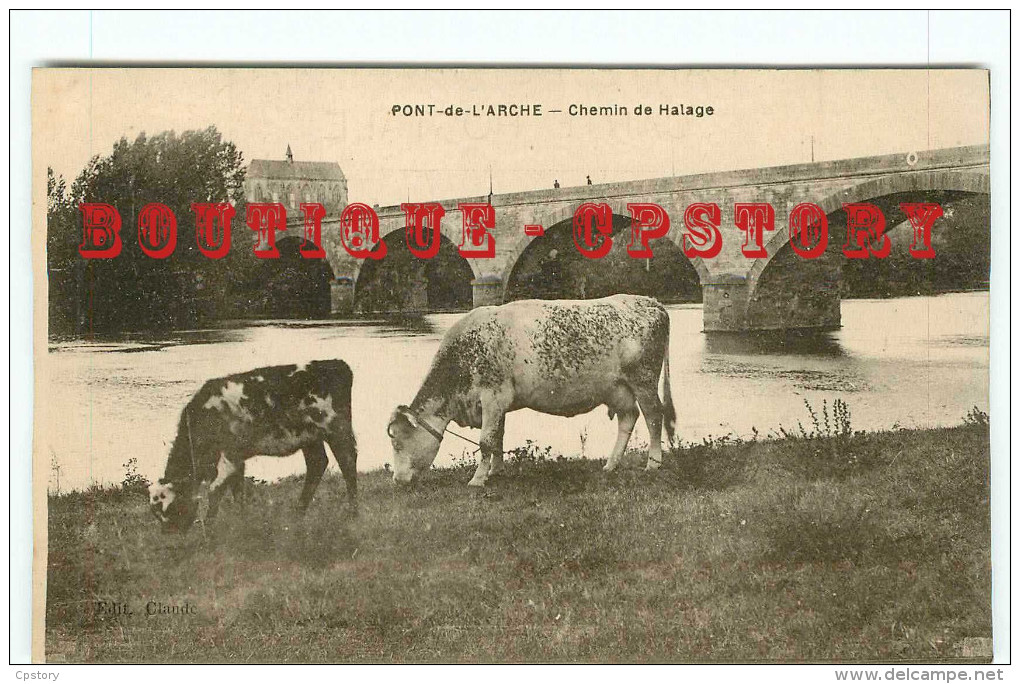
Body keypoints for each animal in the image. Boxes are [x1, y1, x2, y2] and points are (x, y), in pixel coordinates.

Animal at [147, 360, 359, 534]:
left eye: (172, 507)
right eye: (156, 514)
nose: (169, 534)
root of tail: (335, 364)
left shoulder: (228, 458)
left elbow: (215, 492)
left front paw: (209, 532)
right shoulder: (237, 459)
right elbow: (238, 491)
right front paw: (242, 521)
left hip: (336, 429)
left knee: (347, 462)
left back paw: (353, 514)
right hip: (309, 438)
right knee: (317, 464)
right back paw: (298, 513)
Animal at [389, 293, 677, 487]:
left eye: (397, 440)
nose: (397, 479)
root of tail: (650, 302)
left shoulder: (493, 396)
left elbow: (485, 441)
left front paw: (478, 479)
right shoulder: (498, 404)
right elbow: (498, 437)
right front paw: (495, 471)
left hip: (643, 379)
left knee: (654, 416)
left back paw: (653, 463)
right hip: (616, 388)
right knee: (628, 417)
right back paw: (610, 464)